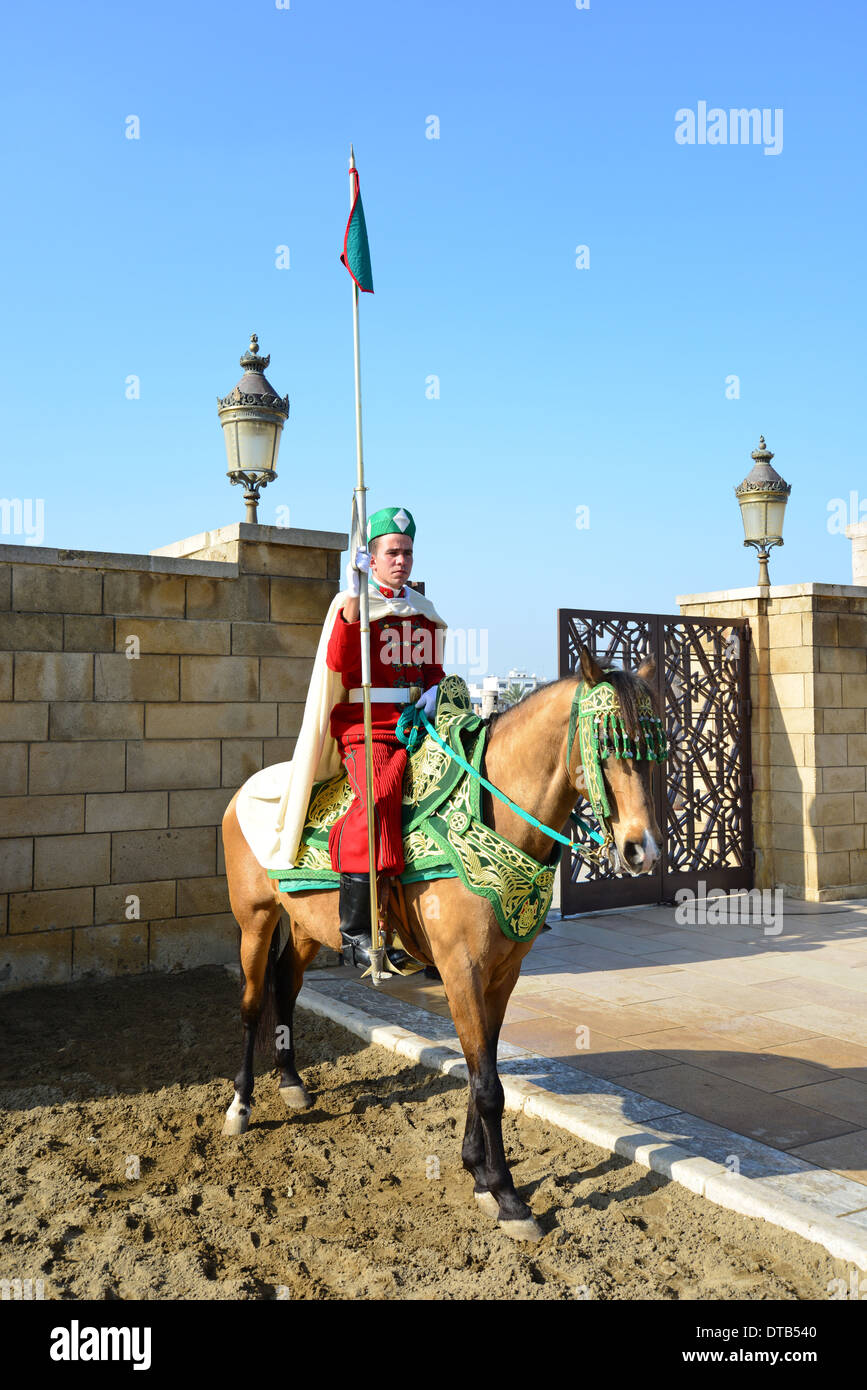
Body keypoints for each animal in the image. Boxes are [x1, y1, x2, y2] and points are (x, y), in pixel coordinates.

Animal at [219, 644, 661, 1245]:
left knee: (286, 985)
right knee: (250, 1002)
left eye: (655, 747)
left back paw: (291, 1083)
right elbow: (488, 1084)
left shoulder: (501, 974)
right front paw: (508, 1196)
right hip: (256, 919)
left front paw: (478, 1172)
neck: (492, 812)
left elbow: (484, 1067)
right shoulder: (461, 969)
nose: (643, 850)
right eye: (608, 743)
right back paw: (241, 1106)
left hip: (308, 925)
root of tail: (250, 790)